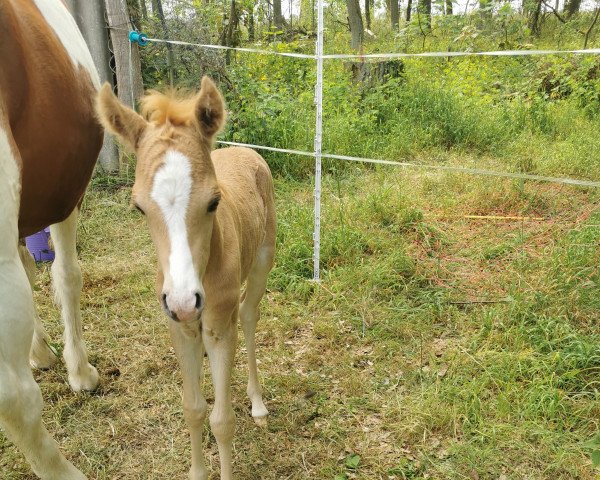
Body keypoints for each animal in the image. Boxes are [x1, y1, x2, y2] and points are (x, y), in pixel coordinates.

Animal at [98, 77, 276, 478]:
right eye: (138, 207)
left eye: (214, 202)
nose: (183, 302)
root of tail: (246, 152)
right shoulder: (180, 328)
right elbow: (193, 409)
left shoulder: (217, 325)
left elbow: (221, 420)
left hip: (262, 262)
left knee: (248, 315)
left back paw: (257, 403)